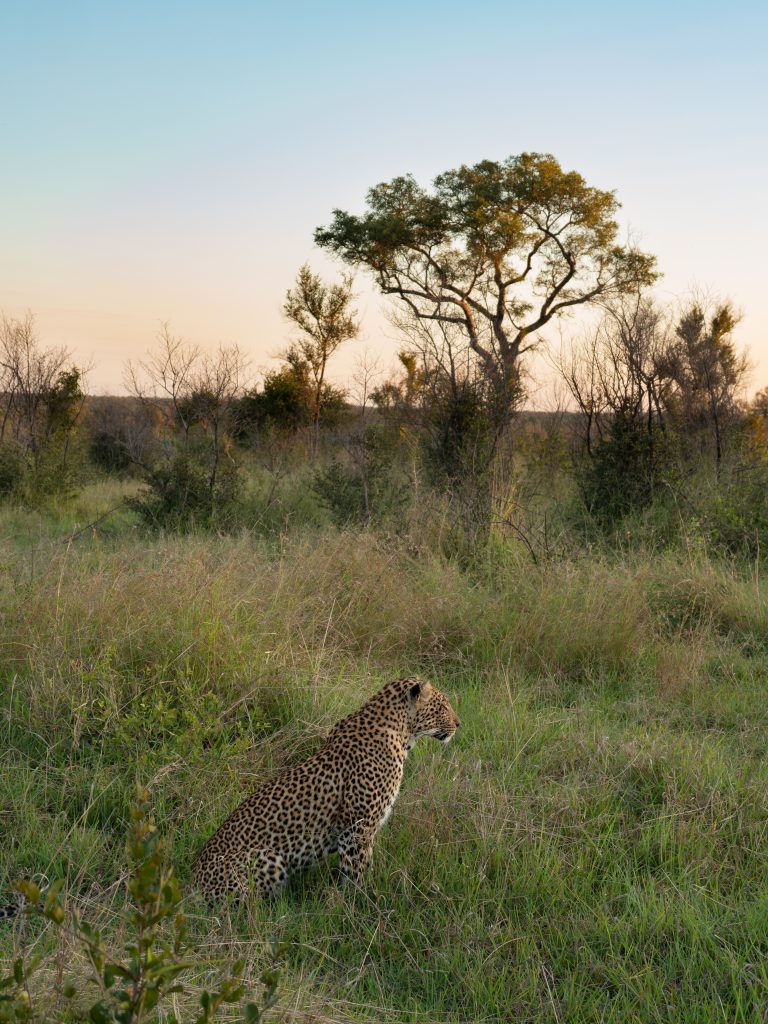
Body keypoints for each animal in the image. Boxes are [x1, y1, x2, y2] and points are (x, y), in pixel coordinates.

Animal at [191, 675, 460, 901]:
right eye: (443, 707)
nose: (459, 723)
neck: (401, 733)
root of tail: (191, 885)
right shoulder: (357, 828)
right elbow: (356, 871)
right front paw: (358, 903)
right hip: (268, 858)